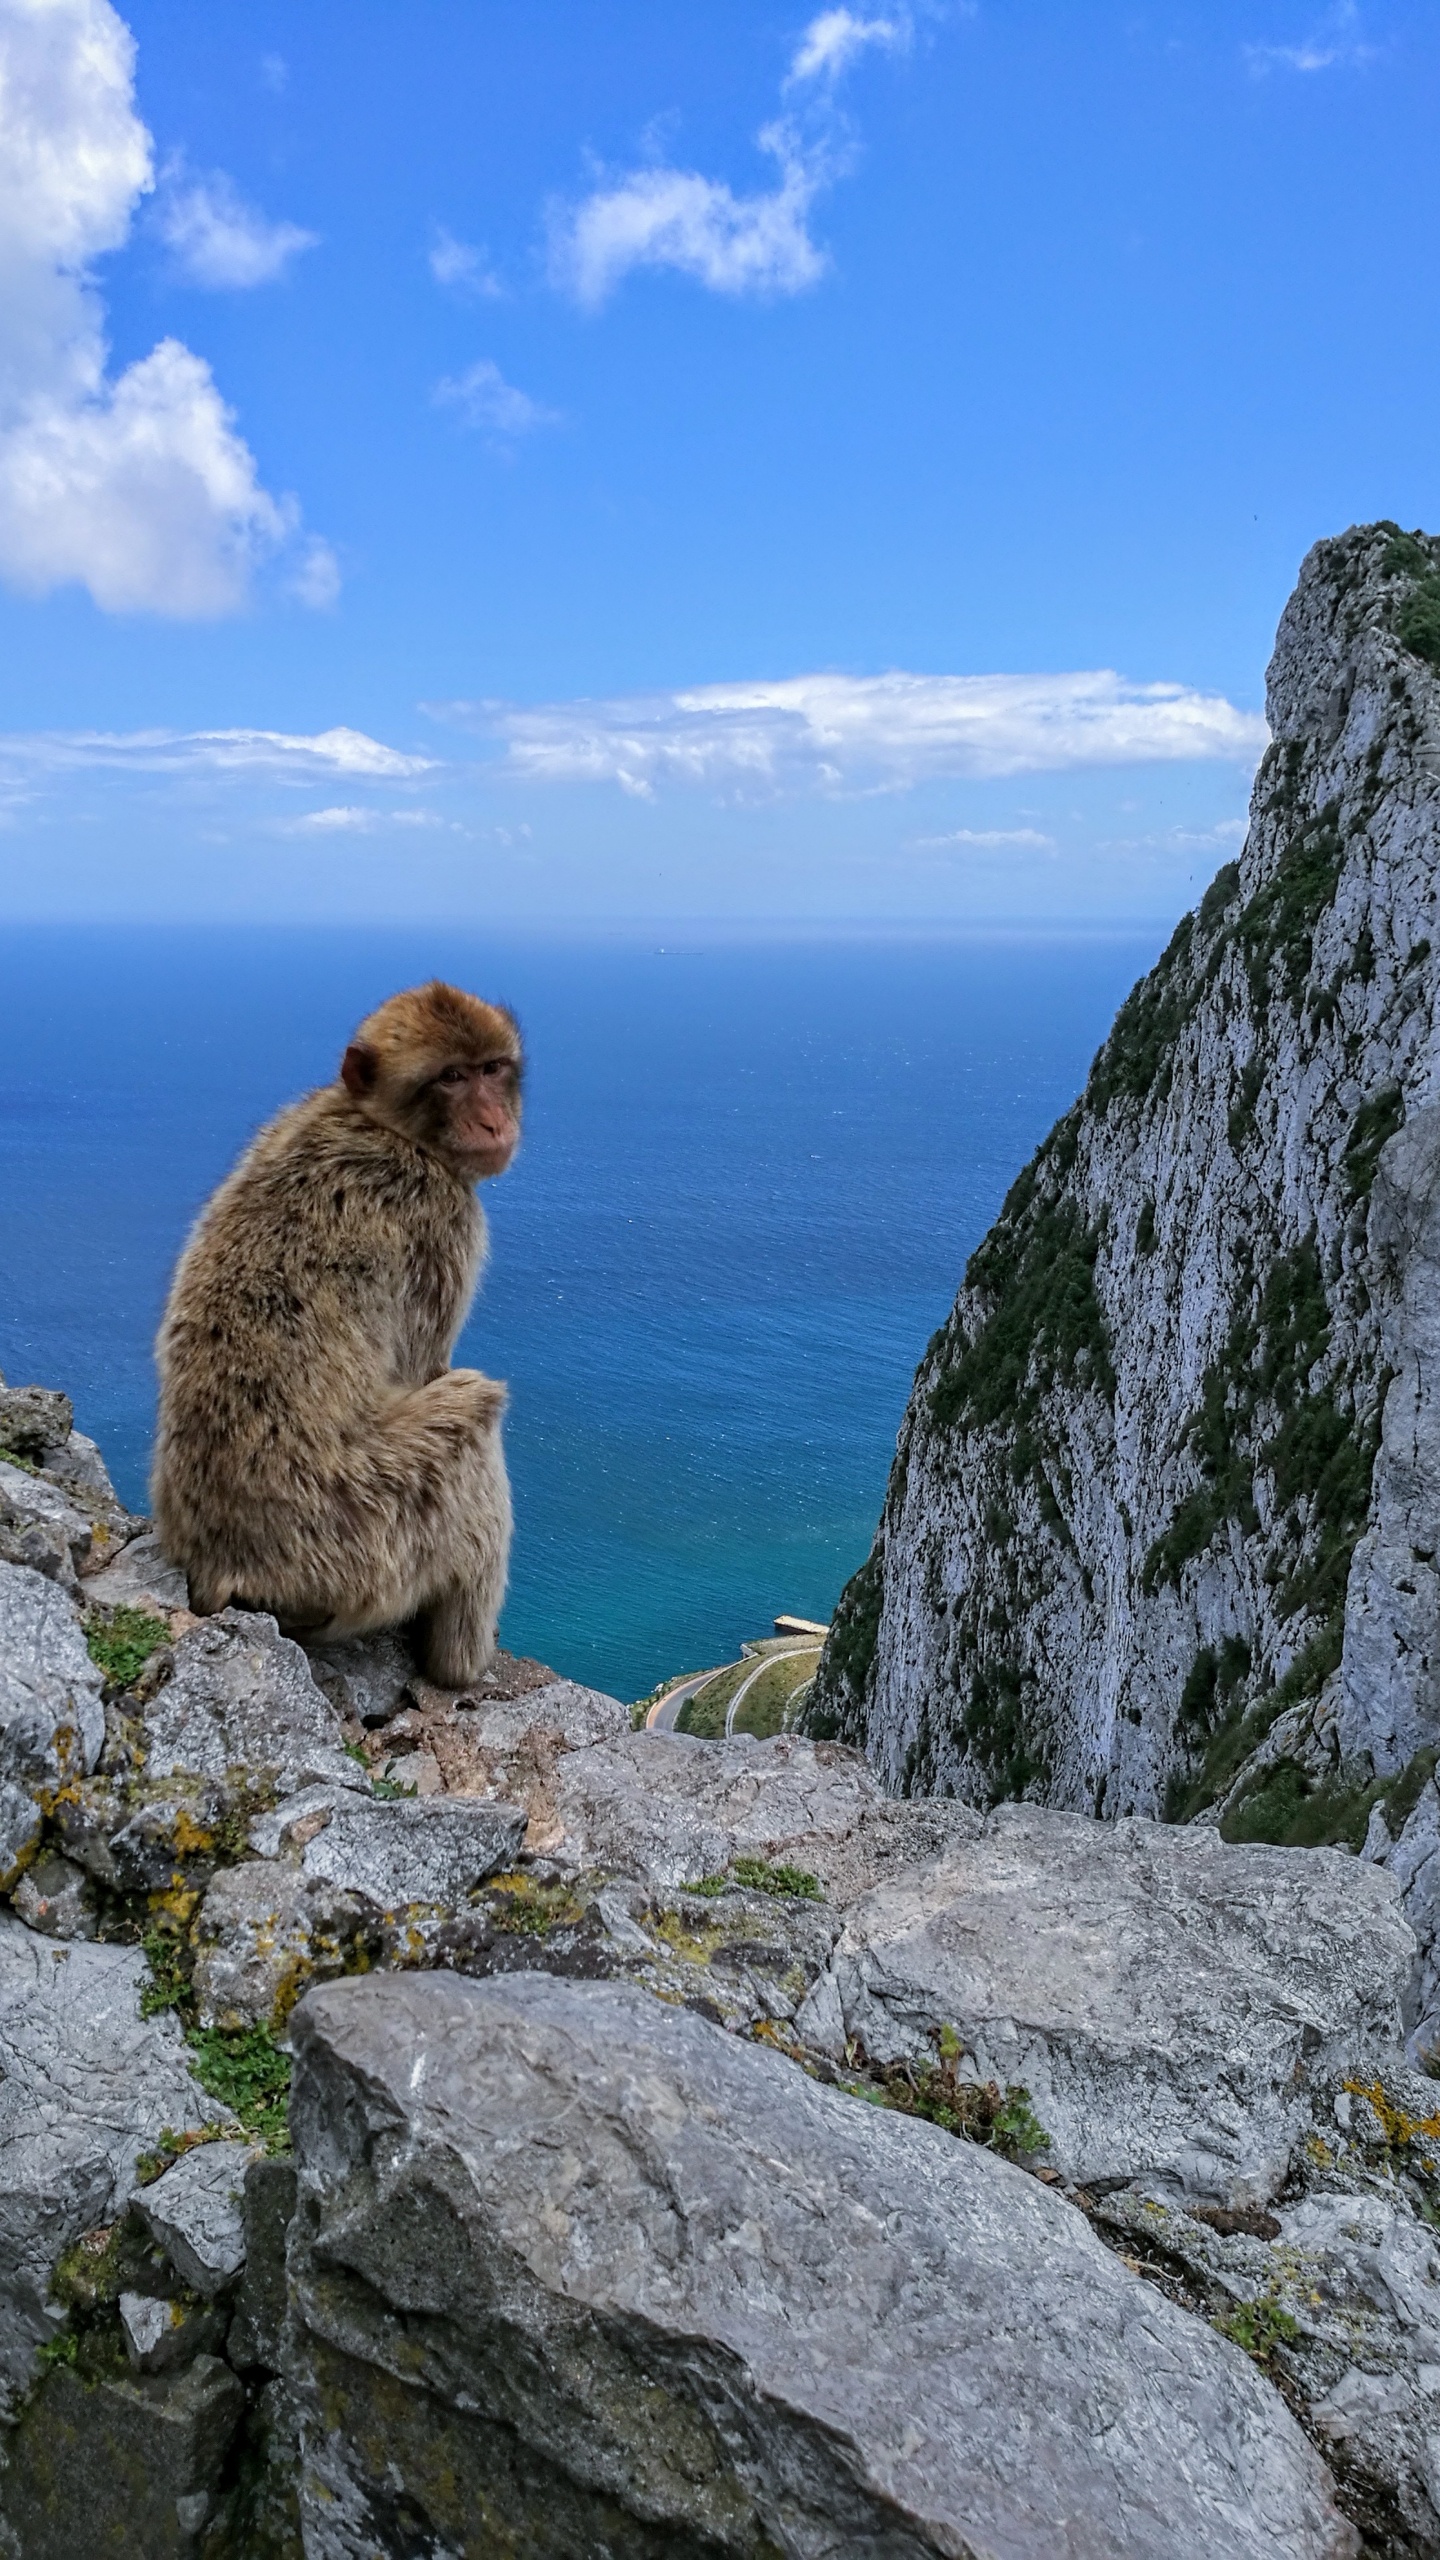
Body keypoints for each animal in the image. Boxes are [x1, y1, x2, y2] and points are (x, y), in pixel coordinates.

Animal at [151, 980, 523, 1688]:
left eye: (492, 1069)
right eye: (451, 1078)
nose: (495, 1122)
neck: (378, 1122)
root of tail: (222, 1568)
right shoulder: (443, 1217)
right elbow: (428, 1369)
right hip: (364, 1534)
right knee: (472, 1414)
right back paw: (459, 1666)